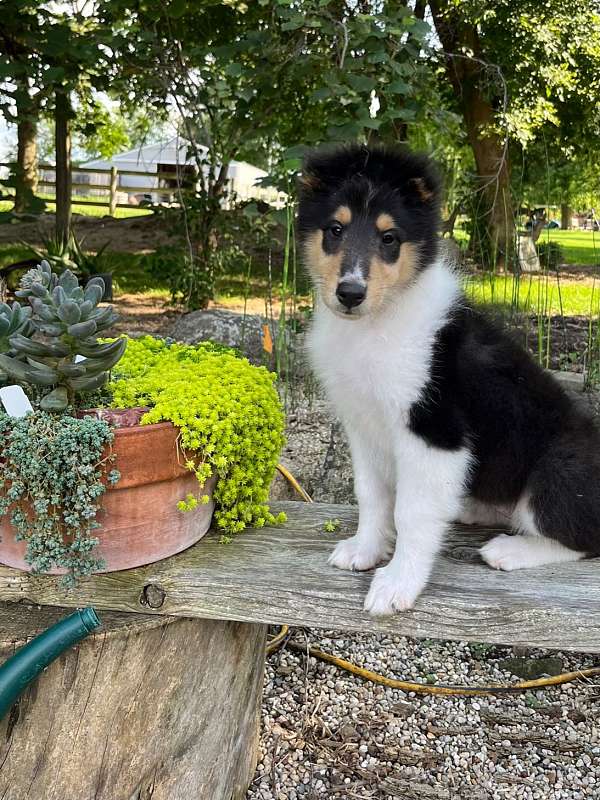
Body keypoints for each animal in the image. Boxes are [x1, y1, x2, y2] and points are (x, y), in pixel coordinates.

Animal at [298, 144, 600, 616]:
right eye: (335, 229)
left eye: (389, 238)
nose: (350, 293)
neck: (378, 322)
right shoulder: (362, 425)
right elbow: (371, 494)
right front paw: (365, 550)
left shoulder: (434, 433)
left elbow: (411, 513)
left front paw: (397, 584)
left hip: (559, 469)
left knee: (582, 536)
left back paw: (510, 549)